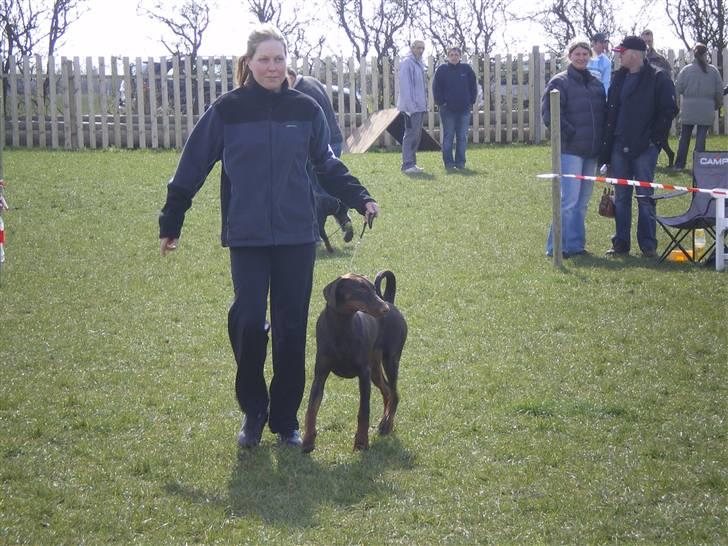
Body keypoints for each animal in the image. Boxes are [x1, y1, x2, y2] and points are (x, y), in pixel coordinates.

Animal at [300, 268, 406, 450]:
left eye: (373, 289)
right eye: (361, 289)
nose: (384, 309)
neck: (341, 327)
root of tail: (390, 301)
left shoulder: (363, 374)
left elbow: (364, 411)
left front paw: (361, 442)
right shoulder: (320, 375)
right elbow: (311, 408)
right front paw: (308, 441)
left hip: (390, 360)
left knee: (394, 394)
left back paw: (387, 424)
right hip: (375, 368)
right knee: (387, 390)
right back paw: (383, 421)